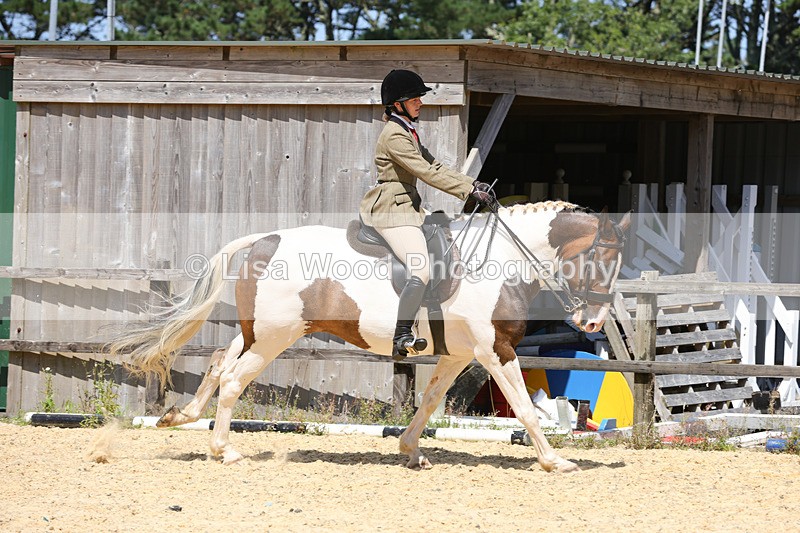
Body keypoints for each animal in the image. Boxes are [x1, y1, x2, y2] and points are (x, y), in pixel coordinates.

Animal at [110, 200, 630, 473]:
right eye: (602, 260)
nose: (593, 323)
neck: (503, 258)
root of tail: (266, 238)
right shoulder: (494, 350)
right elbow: (523, 406)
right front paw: (554, 461)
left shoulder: (458, 354)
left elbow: (429, 401)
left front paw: (411, 451)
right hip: (276, 336)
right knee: (235, 380)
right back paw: (225, 450)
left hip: (258, 331)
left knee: (221, 360)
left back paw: (180, 417)